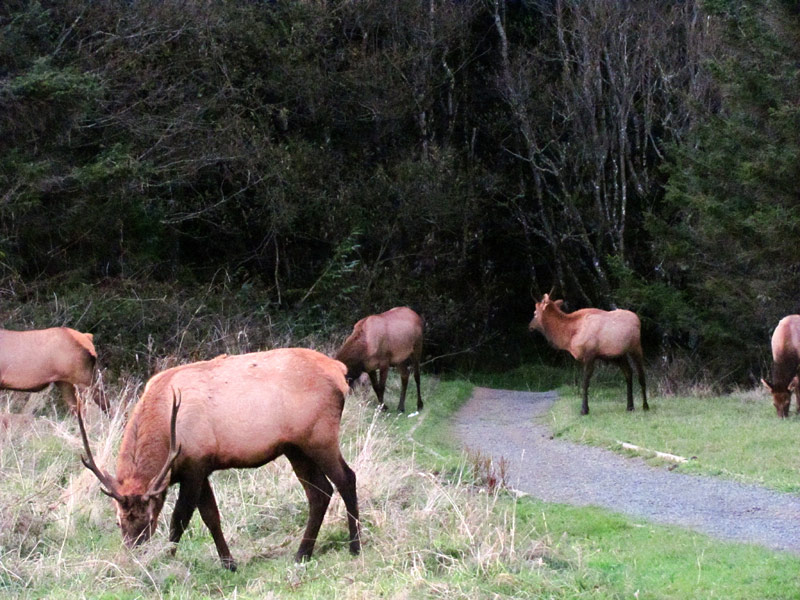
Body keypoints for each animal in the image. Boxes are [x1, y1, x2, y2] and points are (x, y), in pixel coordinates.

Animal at [77, 350, 360, 568]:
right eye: (118, 522)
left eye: (149, 521)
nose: (134, 558)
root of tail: (339, 371)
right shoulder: (201, 469)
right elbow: (211, 517)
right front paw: (229, 563)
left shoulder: (195, 465)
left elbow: (180, 519)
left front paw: (168, 558)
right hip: (296, 448)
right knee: (319, 492)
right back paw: (302, 553)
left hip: (321, 437)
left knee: (346, 479)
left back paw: (354, 546)